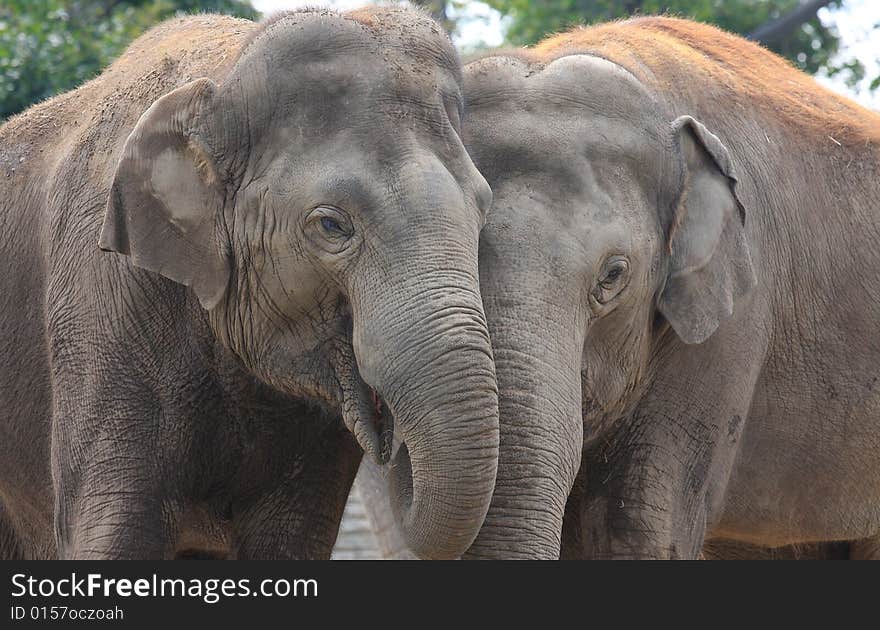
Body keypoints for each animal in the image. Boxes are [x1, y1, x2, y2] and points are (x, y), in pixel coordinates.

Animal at [0, 7, 496, 564]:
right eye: (331, 225)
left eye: (483, 209)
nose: (396, 449)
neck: (225, 74)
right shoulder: (100, 310)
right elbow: (118, 534)